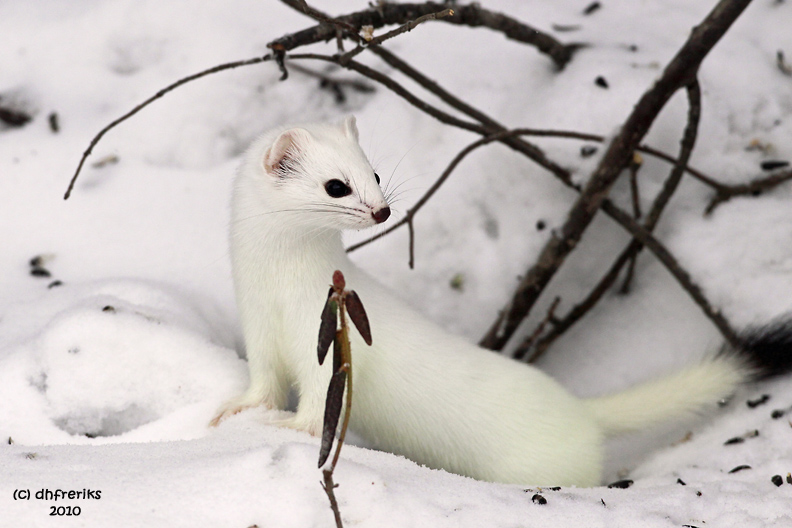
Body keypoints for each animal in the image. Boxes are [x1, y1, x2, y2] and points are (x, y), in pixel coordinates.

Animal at [213, 116, 788, 486]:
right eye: (337, 185)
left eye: (374, 173)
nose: (381, 210)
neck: (278, 290)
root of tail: (580, 412)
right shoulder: (258, 326)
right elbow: (264, 380)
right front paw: (236, 411)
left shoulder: (331, 341)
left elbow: (318, 404)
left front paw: (287, 427)